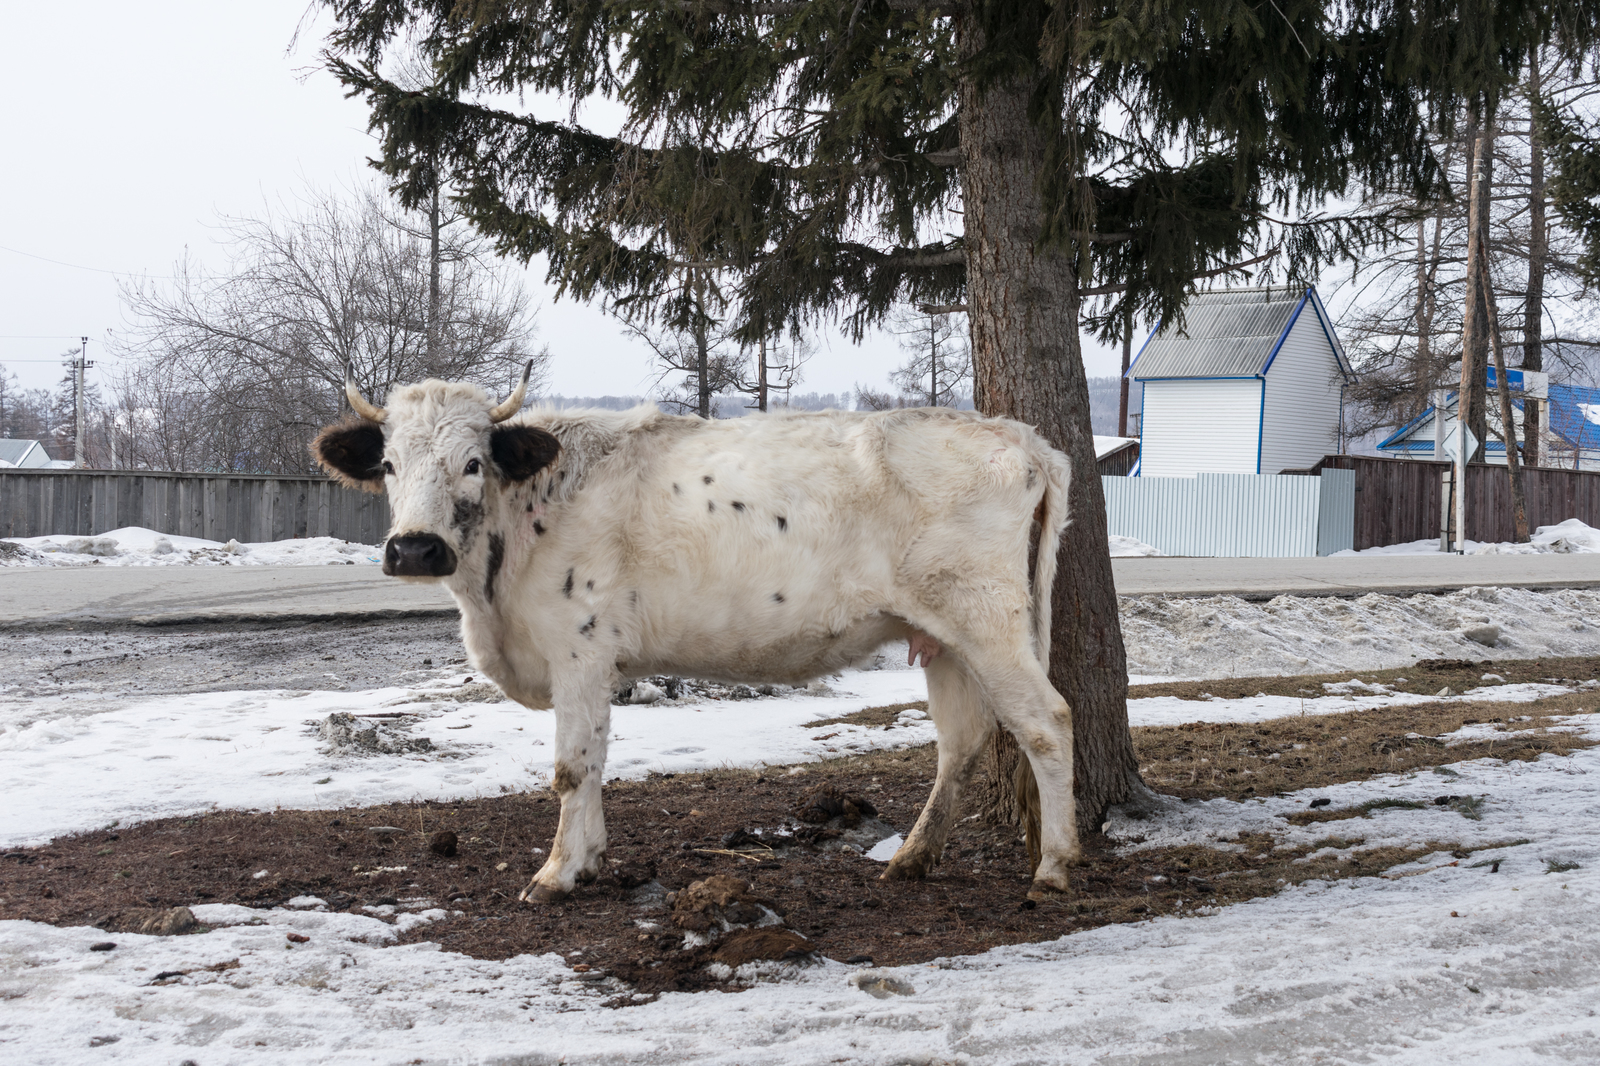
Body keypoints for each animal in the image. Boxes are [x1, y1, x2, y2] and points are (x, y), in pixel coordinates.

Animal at [315, 364, 1075, 896]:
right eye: (388, 464)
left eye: (473, 463)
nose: (415, 549)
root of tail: (1018, 436)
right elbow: (594, 763)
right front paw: (590, 861)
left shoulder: (579, 650)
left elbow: (571, 766)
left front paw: (557, 873)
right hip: (941, 635)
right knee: (961, 742)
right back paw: (913, 858)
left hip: (987, 618)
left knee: (1047, 722)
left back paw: (1055, 865)